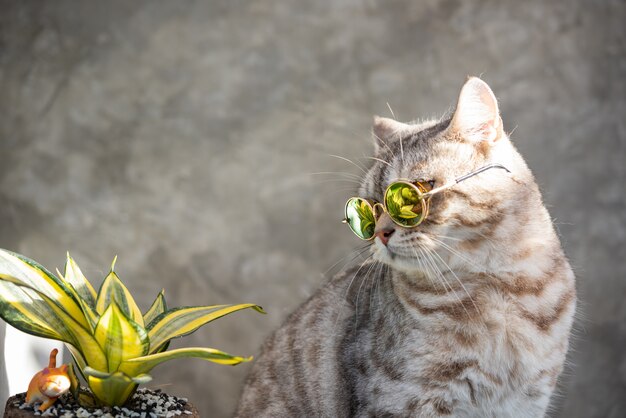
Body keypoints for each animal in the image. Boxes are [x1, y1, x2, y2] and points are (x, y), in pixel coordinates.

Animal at [235, 78, 576, 418]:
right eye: (369, 206)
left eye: (417, 190)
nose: (381, 233)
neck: (498, 288)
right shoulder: (401, 401)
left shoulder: (527, 400)